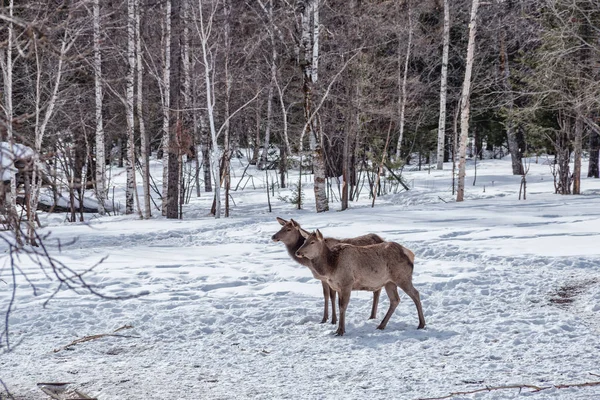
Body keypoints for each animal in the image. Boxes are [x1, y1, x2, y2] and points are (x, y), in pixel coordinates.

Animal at [296, 230, 426, 336]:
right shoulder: (338, 287)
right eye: (305, 240)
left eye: (312, 242)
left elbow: (343, 306)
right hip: (389, 282)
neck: (331, 267)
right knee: (395, 300)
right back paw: (381, 325)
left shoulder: (347, 283)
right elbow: (339, 306)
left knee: (415, 294)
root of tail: (410, 254)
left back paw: (421, 324)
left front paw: (341, 331)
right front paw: (338, 329)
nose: (297, 252)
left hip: (402, 277)